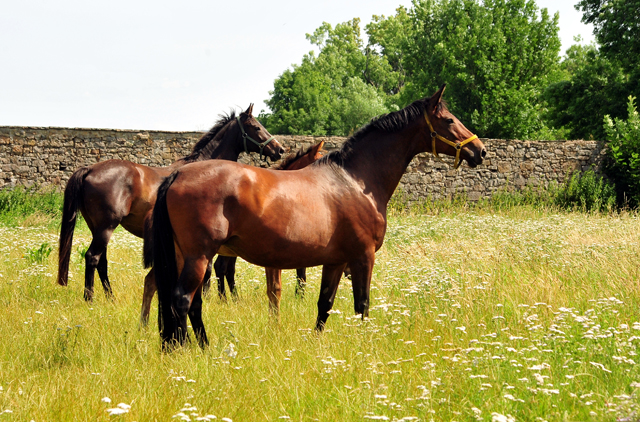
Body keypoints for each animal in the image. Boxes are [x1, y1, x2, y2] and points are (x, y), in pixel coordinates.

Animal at [55, 105, 282, 304]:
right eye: (256, 127)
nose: (279, 149)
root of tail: (90, 169)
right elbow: (208, 269)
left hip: (97, 228)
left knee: (102, 262)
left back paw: (110, 297)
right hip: (106, 227)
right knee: (92, 258)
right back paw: (89, 298)